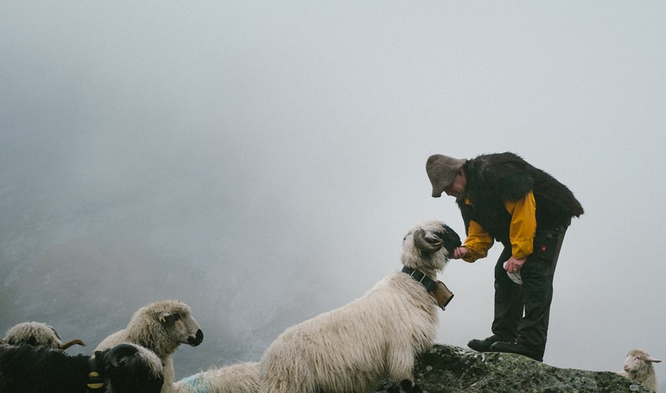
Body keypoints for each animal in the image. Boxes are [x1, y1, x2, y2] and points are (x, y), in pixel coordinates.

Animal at [256, 219, 460, 390]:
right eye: (439, 235)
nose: (459, 239)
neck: (409, 287)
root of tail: (264, 363)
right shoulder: (401, 354)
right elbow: (408, 385)